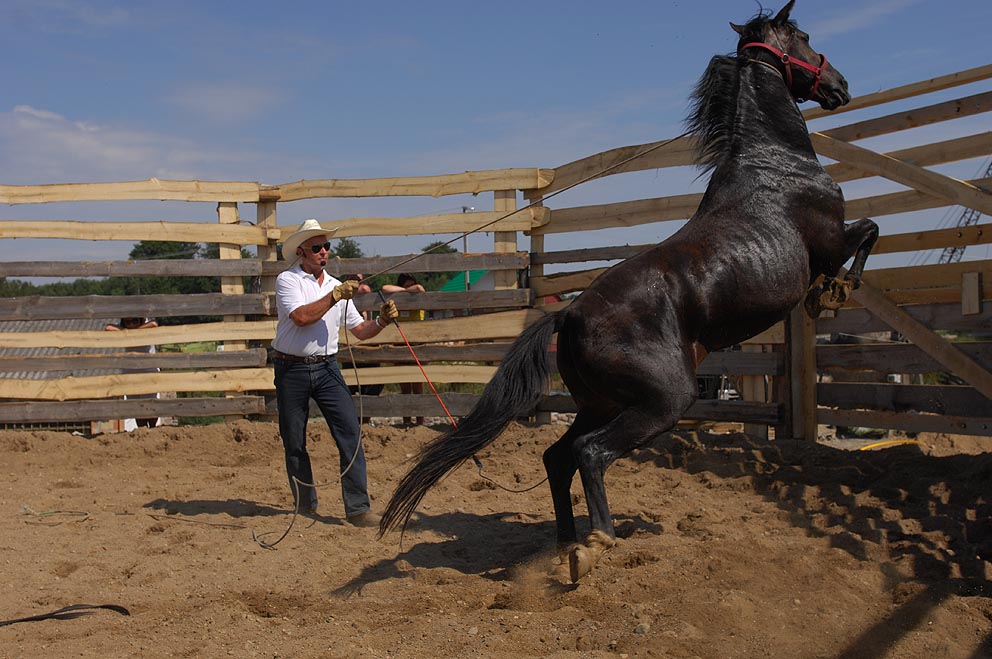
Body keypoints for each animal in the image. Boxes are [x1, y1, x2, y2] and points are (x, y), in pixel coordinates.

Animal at [380, 3, 876, 584]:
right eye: (803, 36)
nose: (840, 85)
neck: (773, 162)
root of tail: (569, 315)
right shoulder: (829, 242)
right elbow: (867, 233)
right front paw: (834, 292)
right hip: (661, 402)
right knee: (589, 454)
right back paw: (595, 543)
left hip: (603, 402)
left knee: (558, 457)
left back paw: (563, 545)